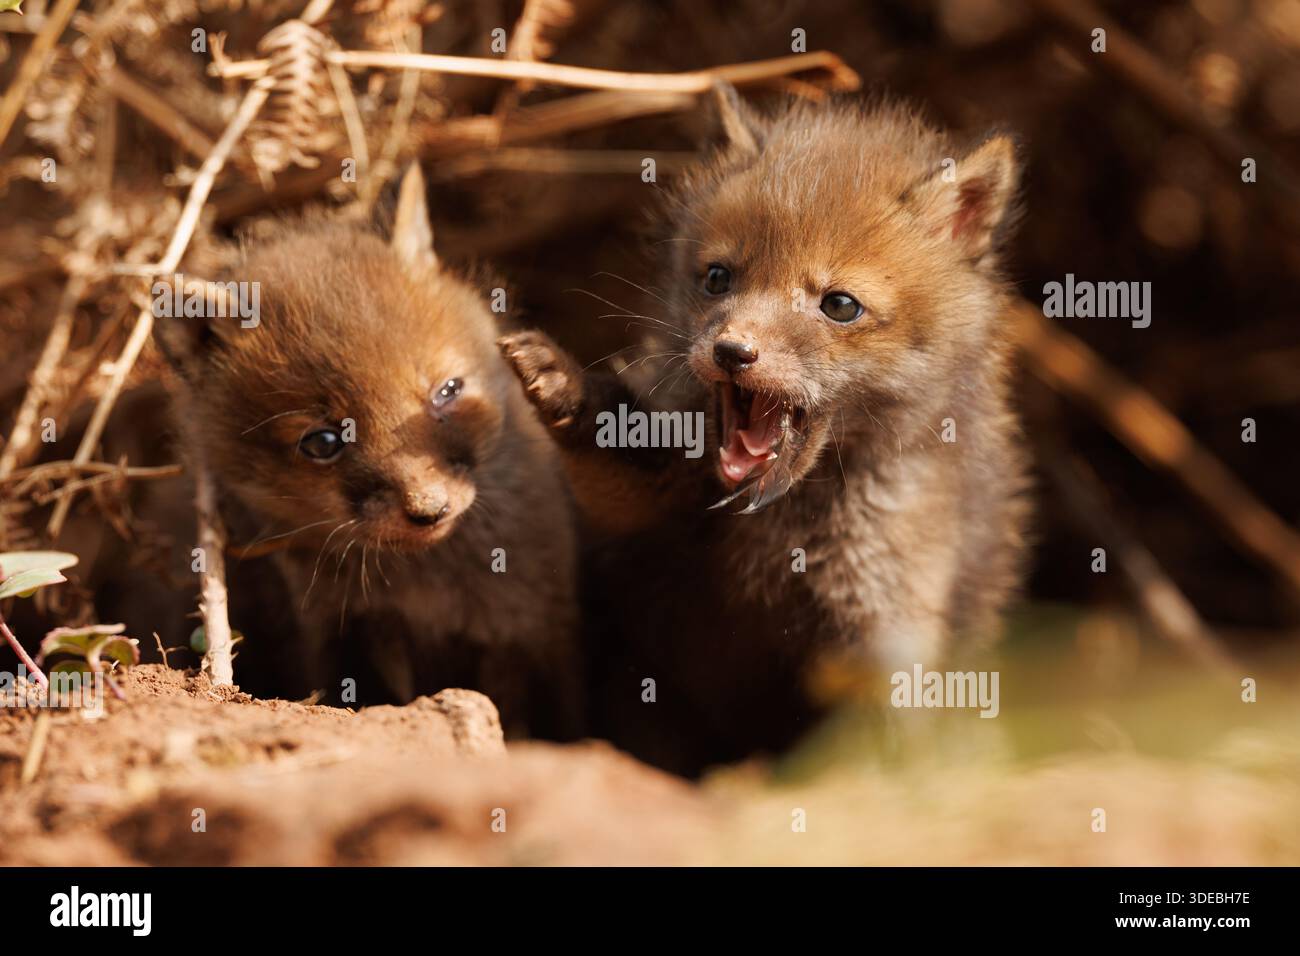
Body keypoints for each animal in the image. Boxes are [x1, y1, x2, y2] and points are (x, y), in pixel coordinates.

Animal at [155, 166, 580, 737]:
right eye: (323, 441)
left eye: (447, 390)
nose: (429, 510)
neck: (432, 587)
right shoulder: (346, 632)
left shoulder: (536, 630)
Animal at [498, 90, 1031, 773]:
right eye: (718, 278)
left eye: (840, 305)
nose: (732, 351)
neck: (780, 524)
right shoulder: (647, 507)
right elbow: (613, 458)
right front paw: (563, 383)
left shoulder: (886, 611)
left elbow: (883, 731)